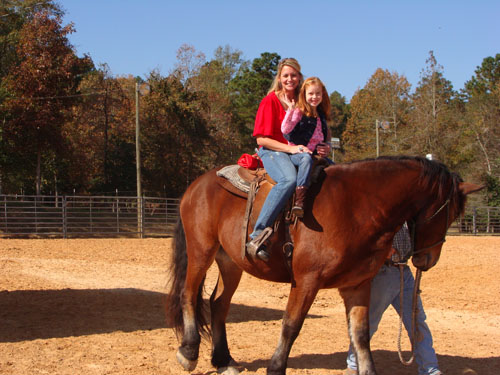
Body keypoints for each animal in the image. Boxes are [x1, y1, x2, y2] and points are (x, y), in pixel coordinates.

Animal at [166, 156, 482, 375]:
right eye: (450, 213)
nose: (427, 260)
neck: (357, 206)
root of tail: (196, 185)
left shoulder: (357, 285)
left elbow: (361, 334)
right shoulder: (306, 280)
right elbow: (291, 326)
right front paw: (276, 367)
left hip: (231, 262)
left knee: (219, 303)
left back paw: (223, 360)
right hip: (201, 252)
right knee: (188, 295)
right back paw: (189, 352)